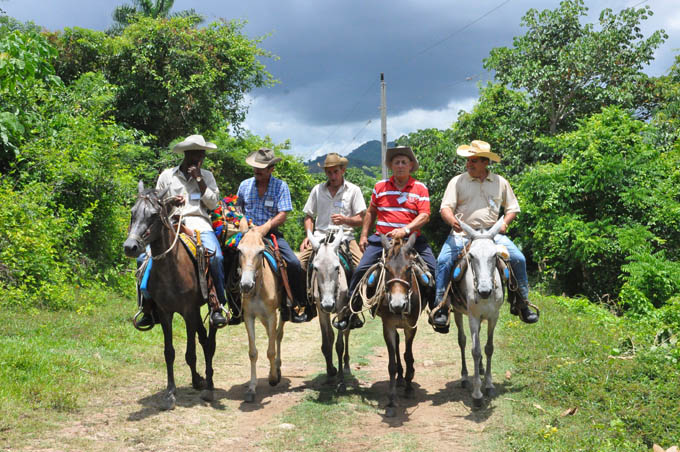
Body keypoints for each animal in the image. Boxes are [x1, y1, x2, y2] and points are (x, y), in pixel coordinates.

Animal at [122, 181, 216, 410]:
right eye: (132, 212)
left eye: (154, 215)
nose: (130, 247)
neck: (171, 269)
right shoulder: (165, 313)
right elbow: (169, 353)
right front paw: (170, 393)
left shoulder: (188, 312)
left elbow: (190, 353)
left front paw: (198, 382)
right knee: (203, 338)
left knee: (207, 341)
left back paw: (209, 384)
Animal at [238, 219, 286, 402]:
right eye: (239, 250)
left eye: (260, 252)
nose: (246, 285)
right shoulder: (249, 316)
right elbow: (253, 352)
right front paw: (252, 388)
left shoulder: (272, 315)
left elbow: (271, 351)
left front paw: (272, 378)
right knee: (272, 334)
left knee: (278, 335)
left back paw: (277, 369)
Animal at [306, 230, 350, 392]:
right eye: (316, 268)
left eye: (337, 267)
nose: (329, 304)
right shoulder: (321, 311)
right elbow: (327, 342)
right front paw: (330, 372)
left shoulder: (342, 310)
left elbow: (339, 345)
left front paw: (341, 381)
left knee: (347, 333)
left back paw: (347, 365)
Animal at [452, 217, 504, 408]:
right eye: (471, 256)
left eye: (495, 255)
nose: (484, 291)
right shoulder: (473, 317)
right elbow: (475, 350)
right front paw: (477, 394)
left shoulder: (493, 316)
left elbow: (488, 348)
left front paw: (488, 385)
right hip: (458, 313)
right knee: (462, 340)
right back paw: (465, 377)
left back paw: (480, 369)